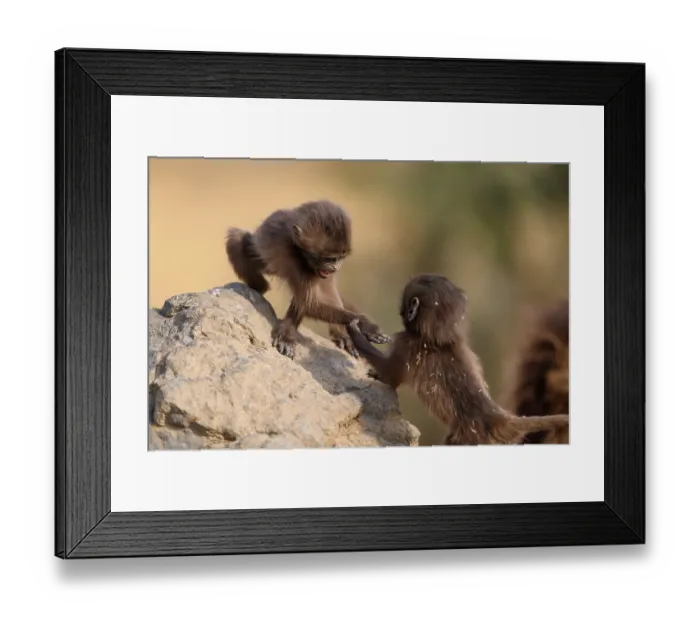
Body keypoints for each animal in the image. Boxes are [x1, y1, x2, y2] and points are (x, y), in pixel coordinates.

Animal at [225, 199, 391, 359]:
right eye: (328, 259)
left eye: (339, 258)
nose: (334, 268)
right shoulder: (288, 254)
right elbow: (308, 302)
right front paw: (365, 324)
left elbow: (316, 298)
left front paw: (348, 331)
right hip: (260, 254)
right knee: (237, 238)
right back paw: (259, 288)